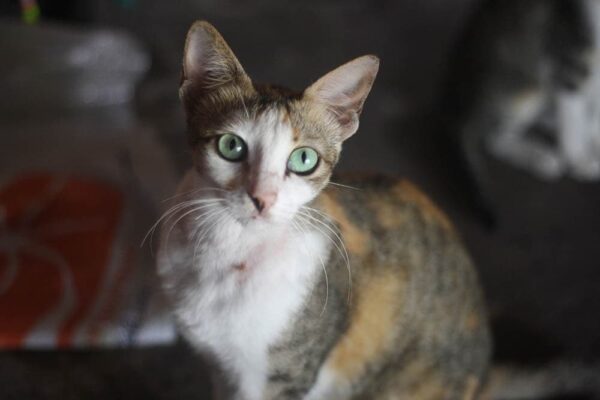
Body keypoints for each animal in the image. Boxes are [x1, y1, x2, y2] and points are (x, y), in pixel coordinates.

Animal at [155, 21, 492, 400]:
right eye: (231, 146)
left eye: (304, 159)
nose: (262, 197)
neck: (232, 247)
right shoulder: (219, 368)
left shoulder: (283, 377)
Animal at [442, 0, 600, 223]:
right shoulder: (565, 60)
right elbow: (574, 118)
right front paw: (580, 160)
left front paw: (595, 140)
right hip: (528, 85)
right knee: (495, 139)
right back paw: (538, 155)